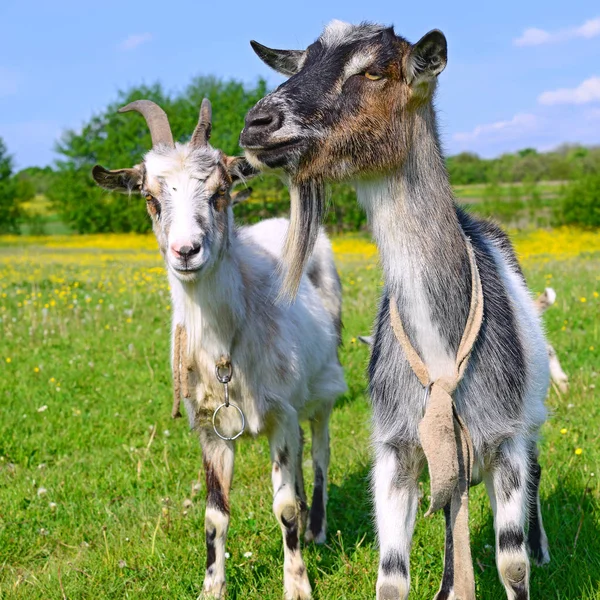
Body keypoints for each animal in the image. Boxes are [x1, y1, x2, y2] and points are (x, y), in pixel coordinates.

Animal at [91, 99, 344, 600]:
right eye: (150, 198)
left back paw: (317, 528)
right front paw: (212, 587)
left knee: (320, 453)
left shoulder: (281, 412)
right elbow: (214, 514)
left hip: (322, 388)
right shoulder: (210, 428)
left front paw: (298, 586)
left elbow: (284, 507)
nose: (185, 251)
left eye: (221, 190)